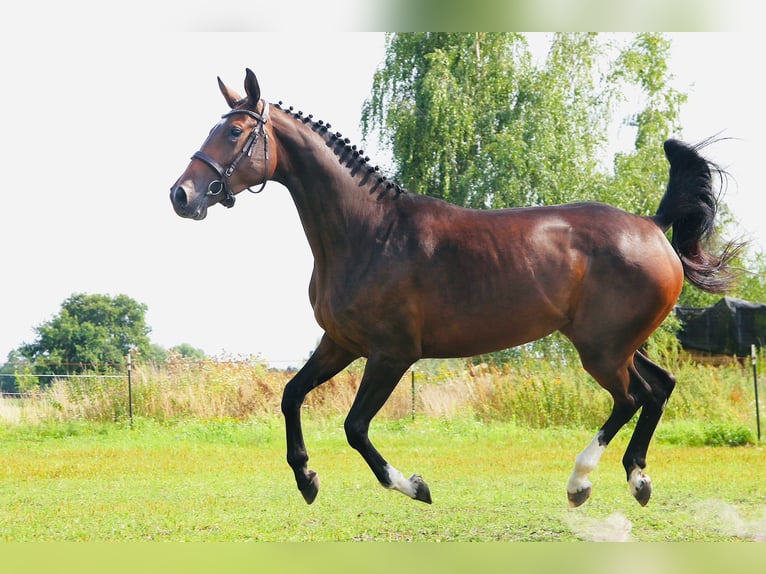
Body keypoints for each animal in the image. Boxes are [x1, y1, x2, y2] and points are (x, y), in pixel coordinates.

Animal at [170, 68, 740, 508]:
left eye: (235, 130)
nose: (182, 195)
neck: (368, 232)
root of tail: (652, 225)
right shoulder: (341, 344)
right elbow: (291, 396)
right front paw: (307, 479)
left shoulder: (391, 354)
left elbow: (356, 427)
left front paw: (414, 486)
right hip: (618, 343)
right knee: (659, 388)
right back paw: (637, 478)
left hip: (601, 350)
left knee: (632, 397)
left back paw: (580, 483)